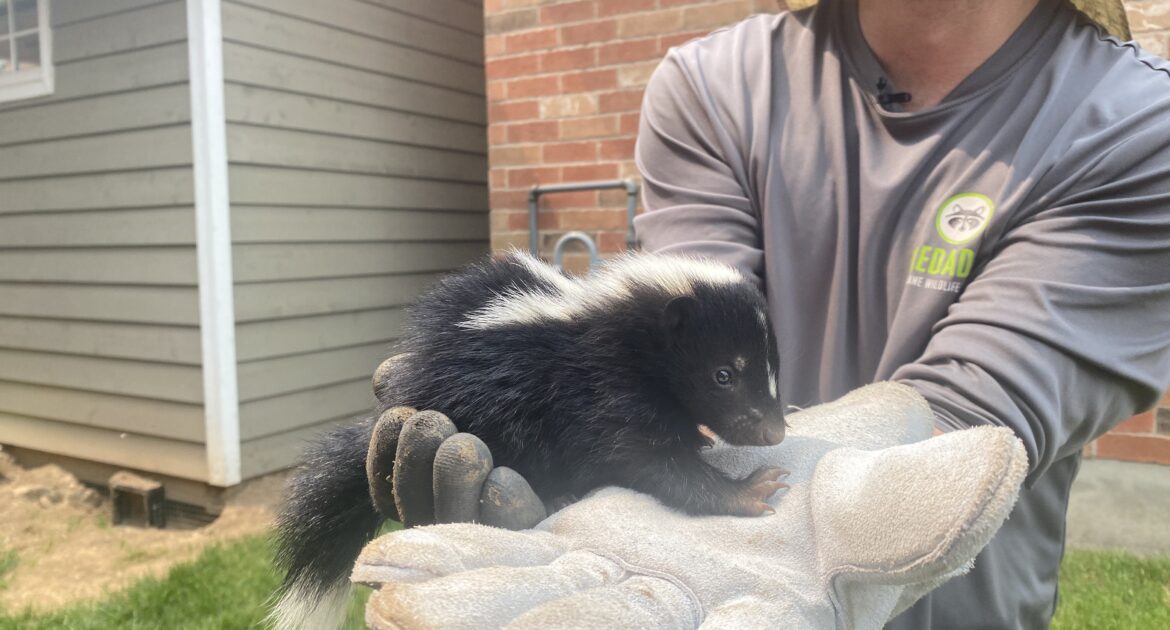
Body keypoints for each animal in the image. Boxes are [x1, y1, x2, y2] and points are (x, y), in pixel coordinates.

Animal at [271, 251, 786, 627]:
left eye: (772, 370)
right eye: (723, 374)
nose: (774, 429)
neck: (623, 332)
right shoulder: (599, 388)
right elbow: (646, 458)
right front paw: (746, 491)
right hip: (489, 406)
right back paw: (556, 493)